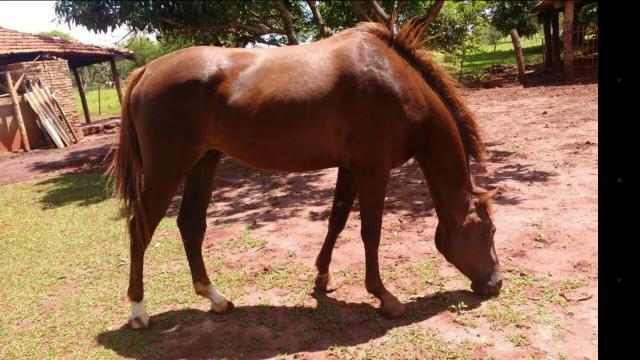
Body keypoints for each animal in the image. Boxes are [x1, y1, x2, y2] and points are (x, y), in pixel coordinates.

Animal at [111, 19, 500, 330]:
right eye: (490, 231)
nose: (495, 283)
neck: (395, 79)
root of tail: (147, 71)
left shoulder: (350, 168)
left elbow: (337, 221)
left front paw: (322, 277)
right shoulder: (374, 171)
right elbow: (370, 232)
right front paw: (384, 297)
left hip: (204, 162)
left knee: (191, 226)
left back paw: (216, 299)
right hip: (166, 170)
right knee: (140, 228)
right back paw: (138, 311)